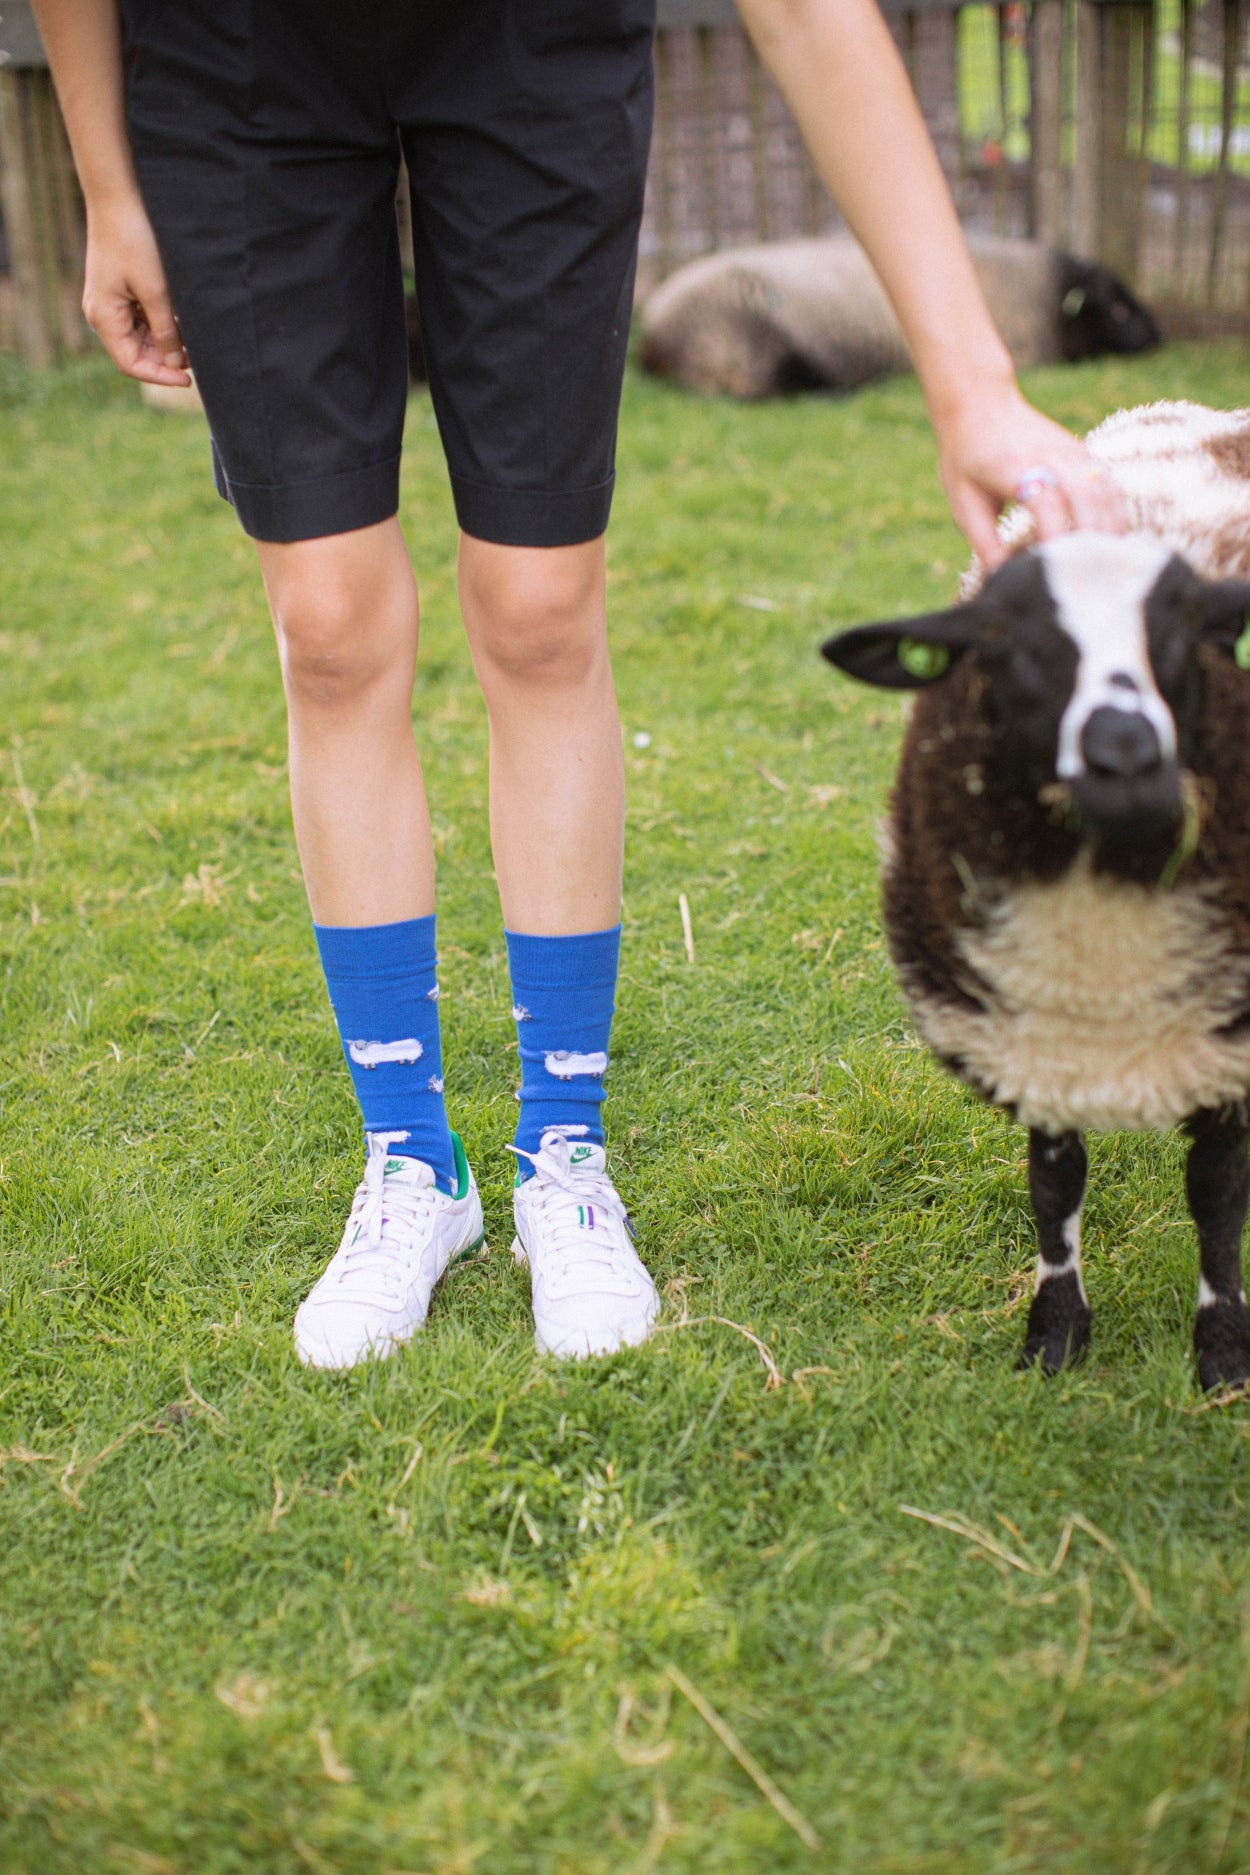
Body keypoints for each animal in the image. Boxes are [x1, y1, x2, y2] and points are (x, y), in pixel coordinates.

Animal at [819, 399, 1250, 1389]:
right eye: (1009, 647)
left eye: (1186, 632)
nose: (1125, 756)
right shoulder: (1027, 1029)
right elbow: (1055, 1186)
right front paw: (1055, 1334)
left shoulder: (1228, 1042)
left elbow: (1216, 1196)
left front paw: (1222, 1350)